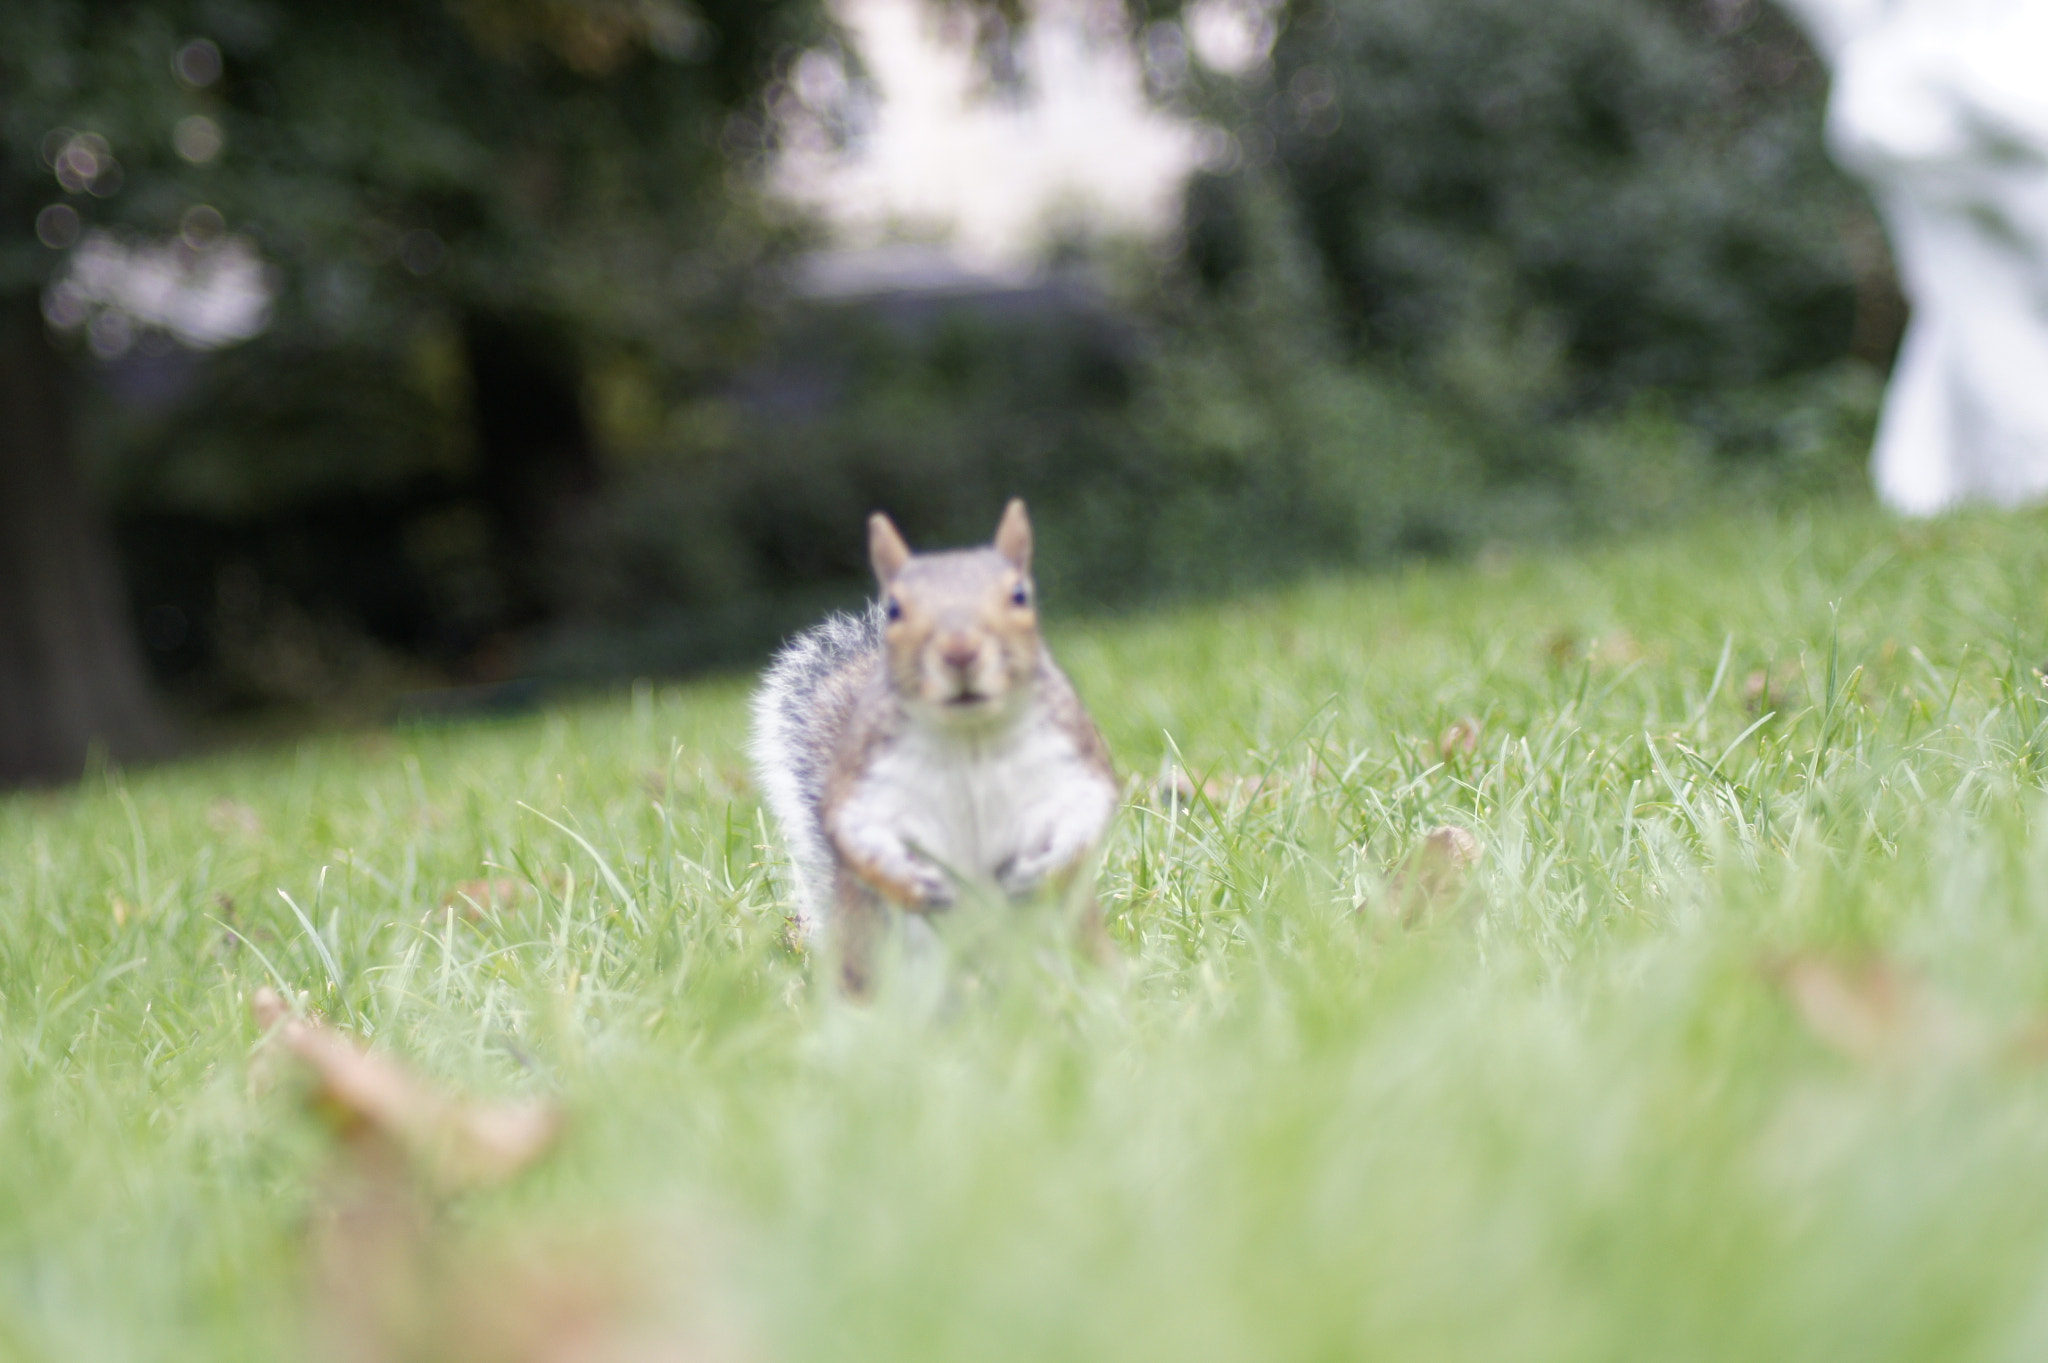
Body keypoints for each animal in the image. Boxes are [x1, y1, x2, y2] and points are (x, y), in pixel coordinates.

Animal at [753, 499, 1122, 986]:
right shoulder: (865, 783)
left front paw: (1041, 869)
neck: (971, 734)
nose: (960, 649)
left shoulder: (1073, 759)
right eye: (894, 609)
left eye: (1020, 596)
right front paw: (911, 881)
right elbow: (856, 833)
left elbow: (1086, 813)